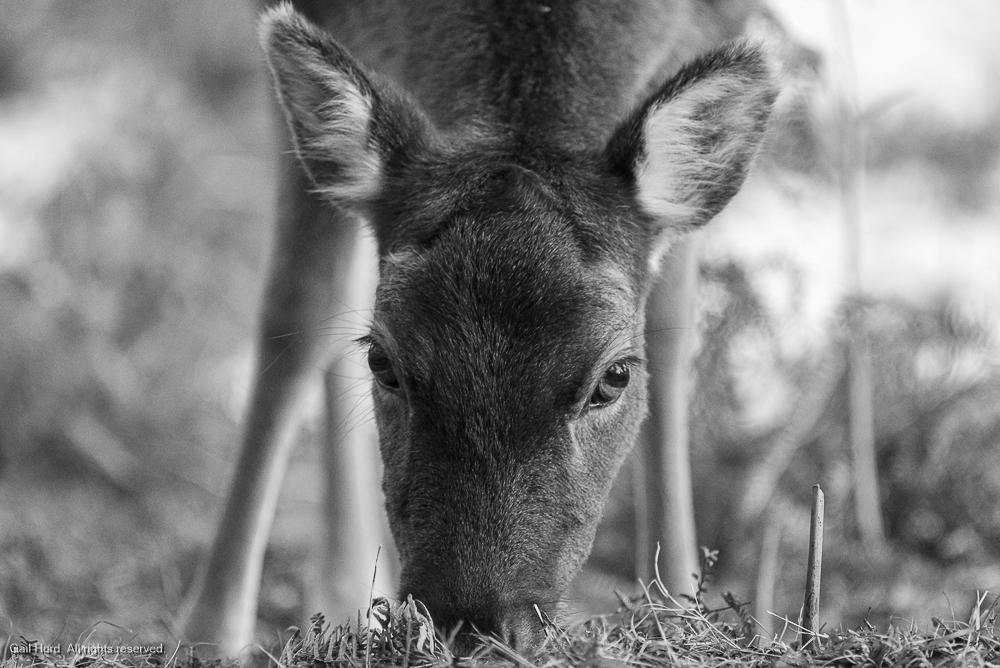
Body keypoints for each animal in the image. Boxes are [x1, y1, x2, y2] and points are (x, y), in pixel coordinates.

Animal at [179, 0, 777, 656]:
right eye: (382, 362)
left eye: (616, 376)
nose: (474, 624)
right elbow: (297, 315)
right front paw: (205, 639)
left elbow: (671, 339)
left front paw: (675, 617)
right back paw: (342, 593)